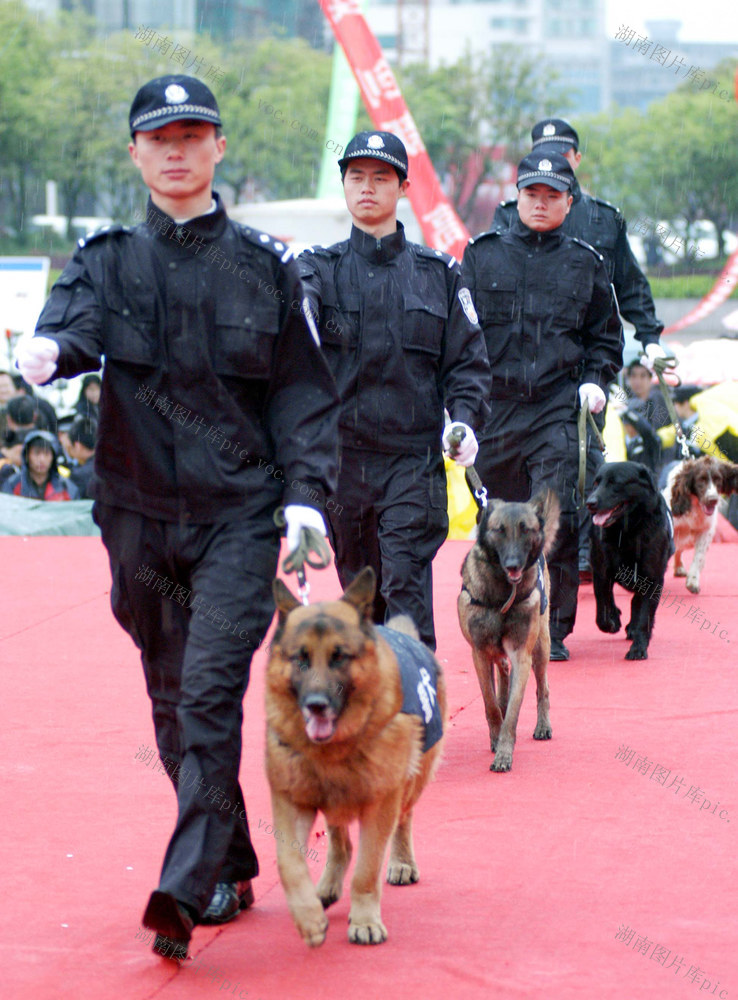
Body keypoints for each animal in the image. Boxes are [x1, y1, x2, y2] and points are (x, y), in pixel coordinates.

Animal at [268, 568, 446, 948]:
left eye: (340, 657)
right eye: (301, 658)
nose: (316, 705)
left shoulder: (380, 804)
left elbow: (366, 870)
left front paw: (364, 920)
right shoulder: (292, 800)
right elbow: (288, 863)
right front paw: (308, 916)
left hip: (411, 781)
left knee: (403, 819)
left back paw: (401, 861)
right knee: (341, 842)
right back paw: (326, 887)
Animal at [454, 492, 556, 772]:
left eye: (526, 530)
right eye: (499, 530)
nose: (512, 564)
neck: (502, 592)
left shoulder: (522, 655)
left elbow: (512, 712)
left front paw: (503, 752)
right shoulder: (479, 653)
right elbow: (490, 704)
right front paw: (495, 736)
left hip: (541, 647)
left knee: (542, 688)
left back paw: (543, 725)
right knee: (501, 672)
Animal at [588, 462, 672, 664]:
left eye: (615, 483)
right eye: (596, 483)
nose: (590, 503)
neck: (628, 531)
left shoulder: (653, 578)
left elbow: (643, 616)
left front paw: (638, 648)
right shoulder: (601, 569)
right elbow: (602, 603)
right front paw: (612, 621)